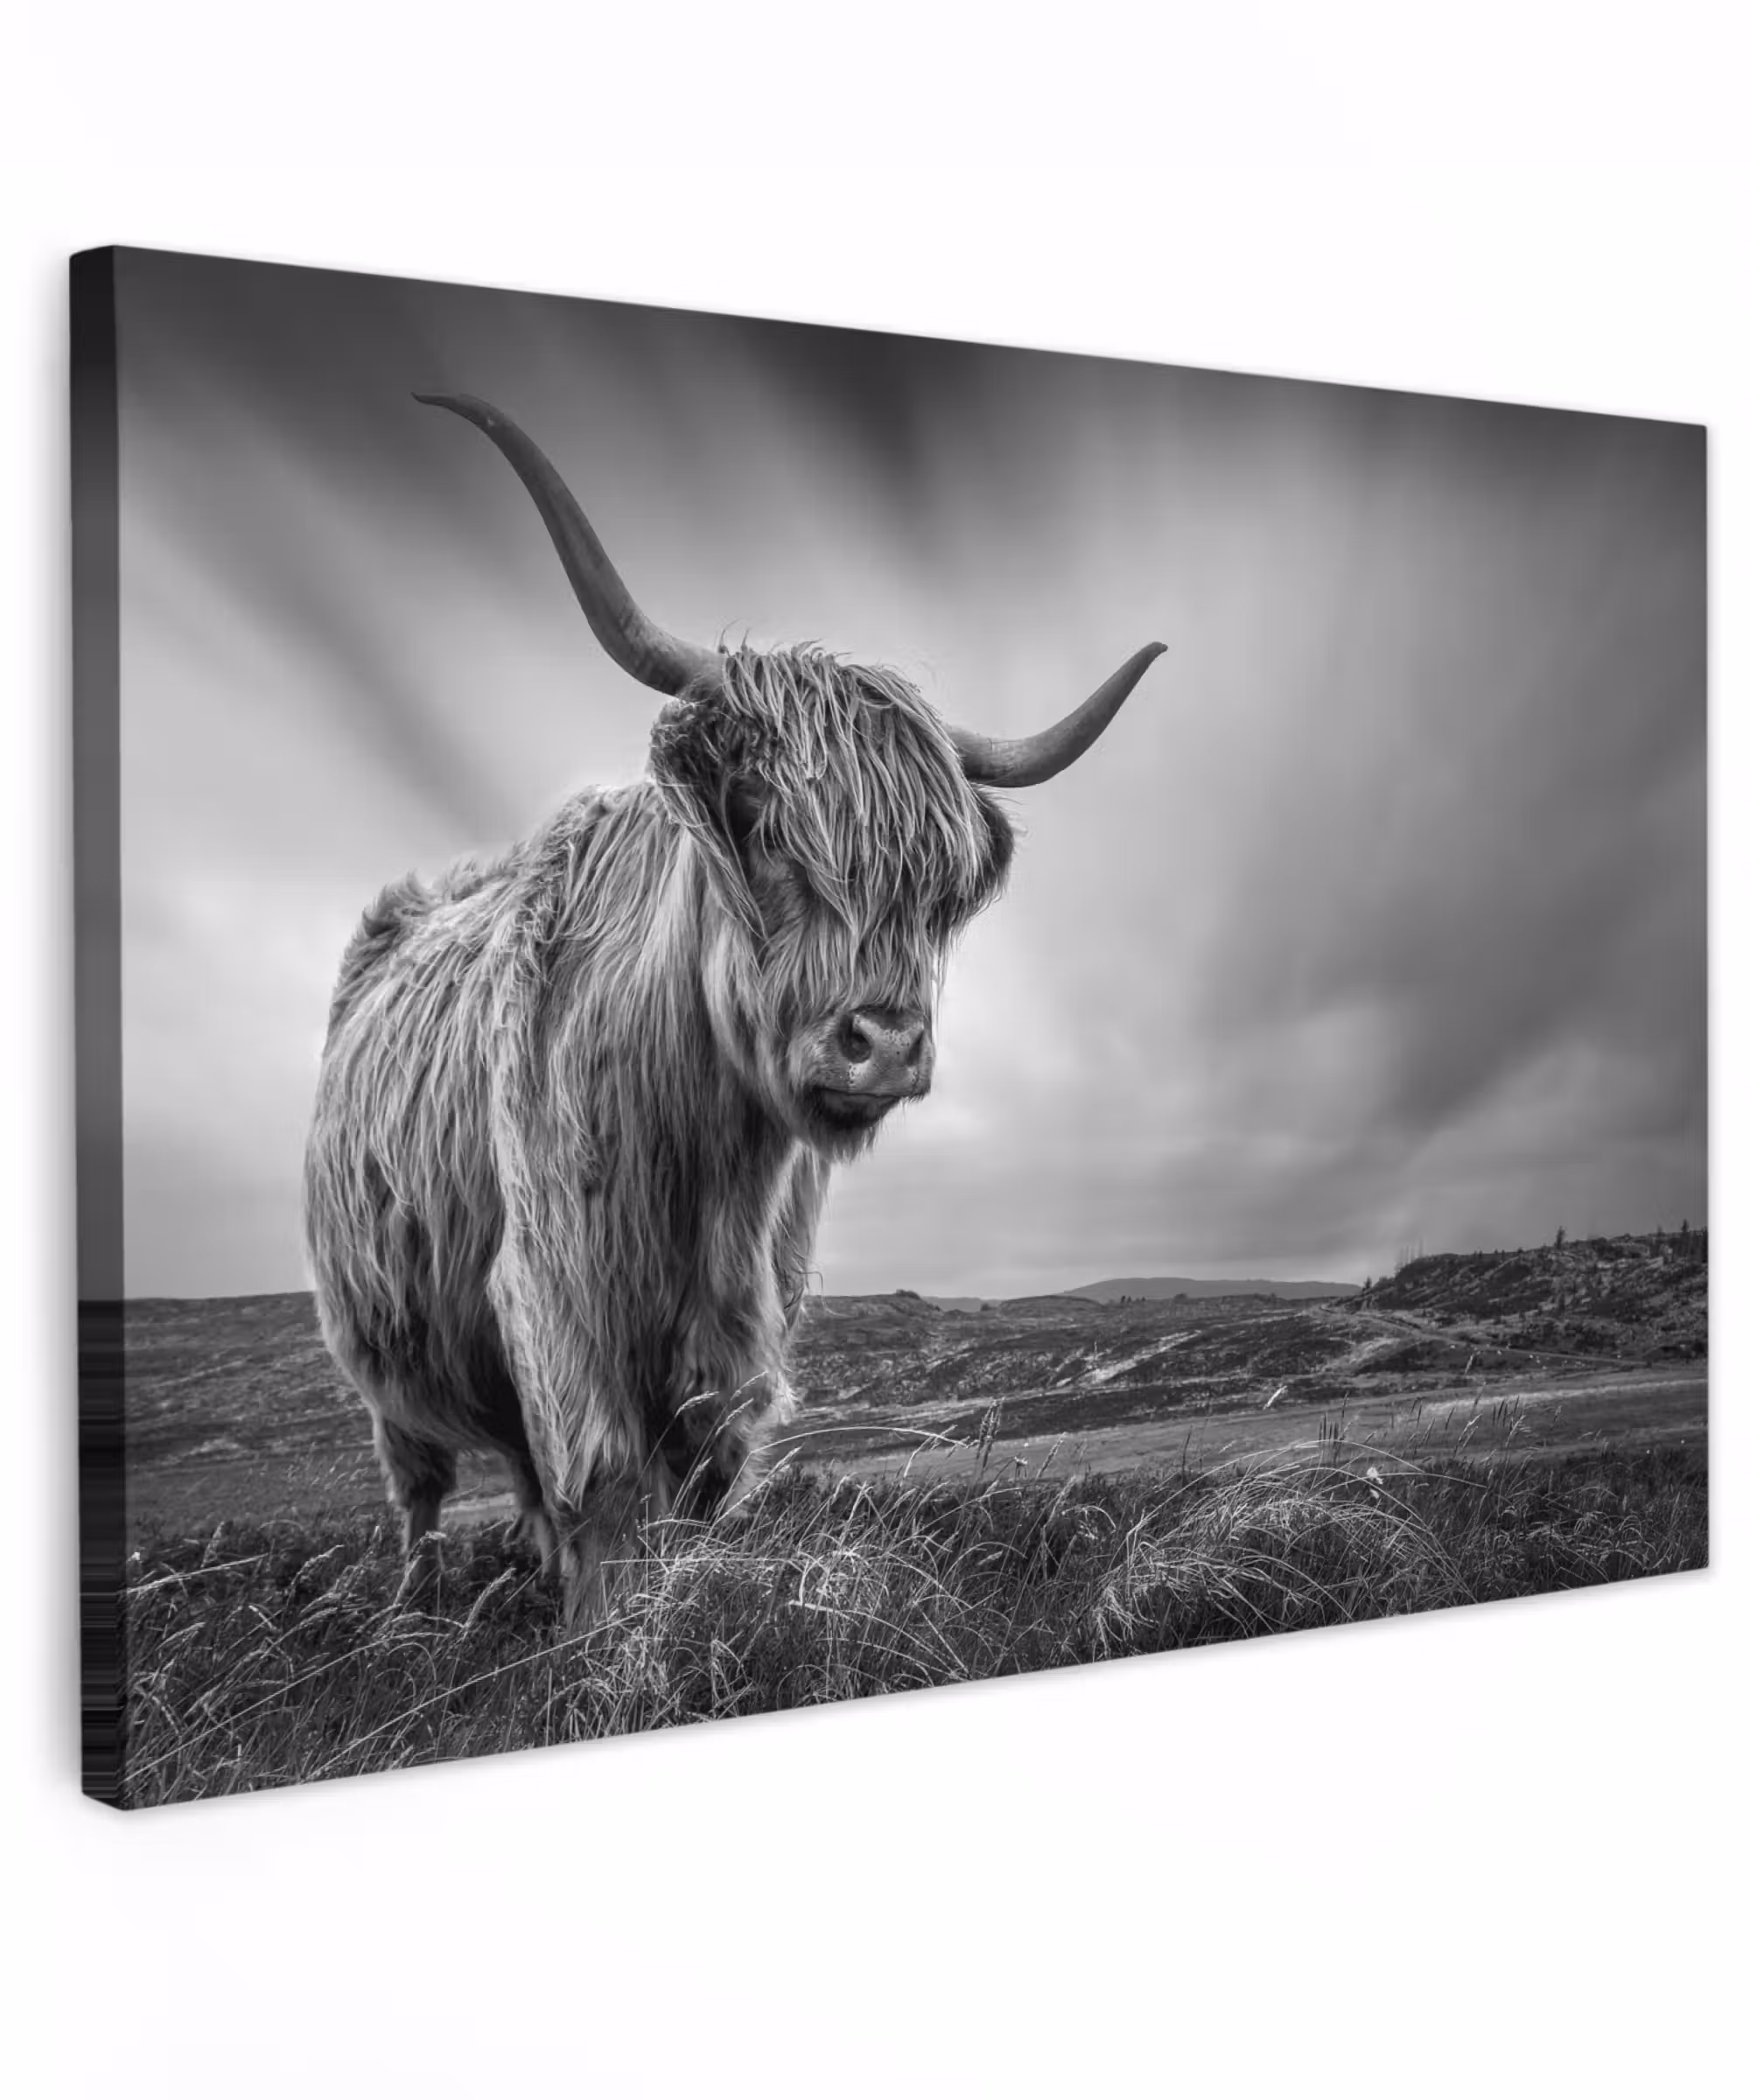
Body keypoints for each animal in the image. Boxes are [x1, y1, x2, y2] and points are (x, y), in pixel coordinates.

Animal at [303, 393, 1166, 1625]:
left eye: (938, 883)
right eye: (759, 819)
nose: (883, 1044)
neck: (704, 1159)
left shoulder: (751, 1313)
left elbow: (698, 1473)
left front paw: (666, 1599)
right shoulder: (558, 1293)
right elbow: (605, 1481)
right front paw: (602, 1635)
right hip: (377, 1342)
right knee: (417, 1480)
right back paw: (413, 1608)